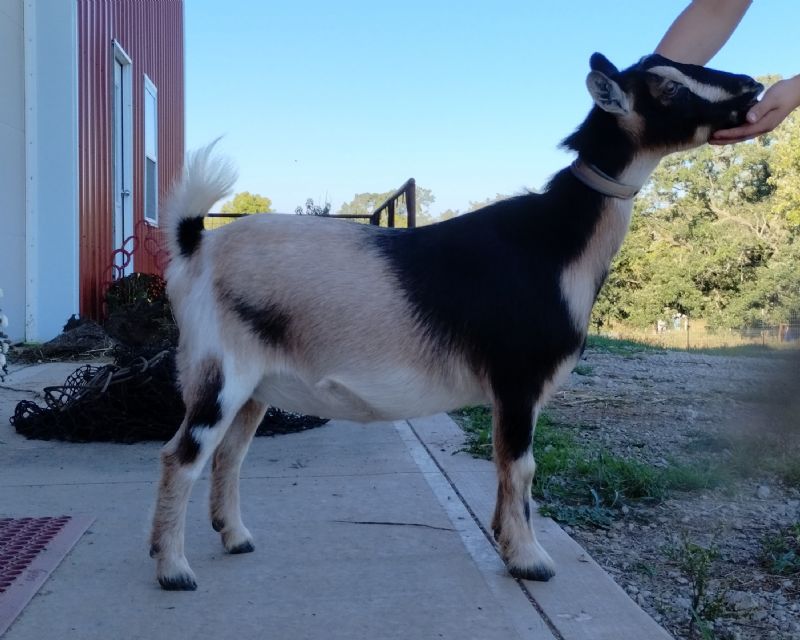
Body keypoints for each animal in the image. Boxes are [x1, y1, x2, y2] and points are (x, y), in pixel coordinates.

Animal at [149, 53, 762, 590]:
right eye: (669, 88)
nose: (752, 86)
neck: (556, 242)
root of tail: (195, 246)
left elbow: (509, 468)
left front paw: (510, 548)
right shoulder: (518, 379)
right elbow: (520, 467)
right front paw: (531, 561)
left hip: (255, 385)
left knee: (228, 454)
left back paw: (235, 537)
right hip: (221, 372)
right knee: (182, 456)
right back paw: (173, 570)